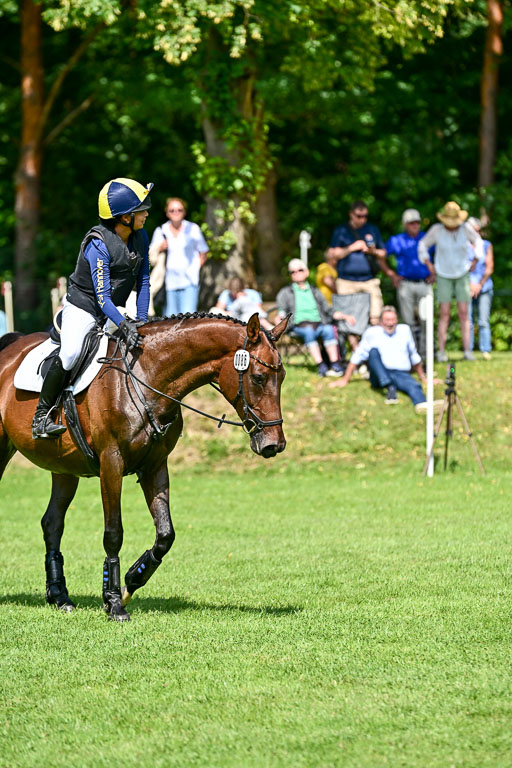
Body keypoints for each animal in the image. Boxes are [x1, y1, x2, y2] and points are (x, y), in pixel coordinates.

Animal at [0, 312, 289, 621]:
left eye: (282, 376)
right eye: (258, 377)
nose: (274, 444)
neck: (148, 377)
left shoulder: (155, 466)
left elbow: (165, 535)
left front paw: (131, 581)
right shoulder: (111, 463)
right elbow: (113, 533)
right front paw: (114, 601)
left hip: (65, 468)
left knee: (52, 523)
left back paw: (59, 597)